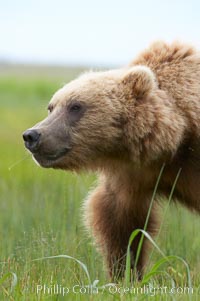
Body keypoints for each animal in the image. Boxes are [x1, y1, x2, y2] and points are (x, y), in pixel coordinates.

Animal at [23, 40, 200, 278]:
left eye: (75, 106)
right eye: (51, 107)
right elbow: (120, 223)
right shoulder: (132, 174)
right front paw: (125, 274)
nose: (32, 135)